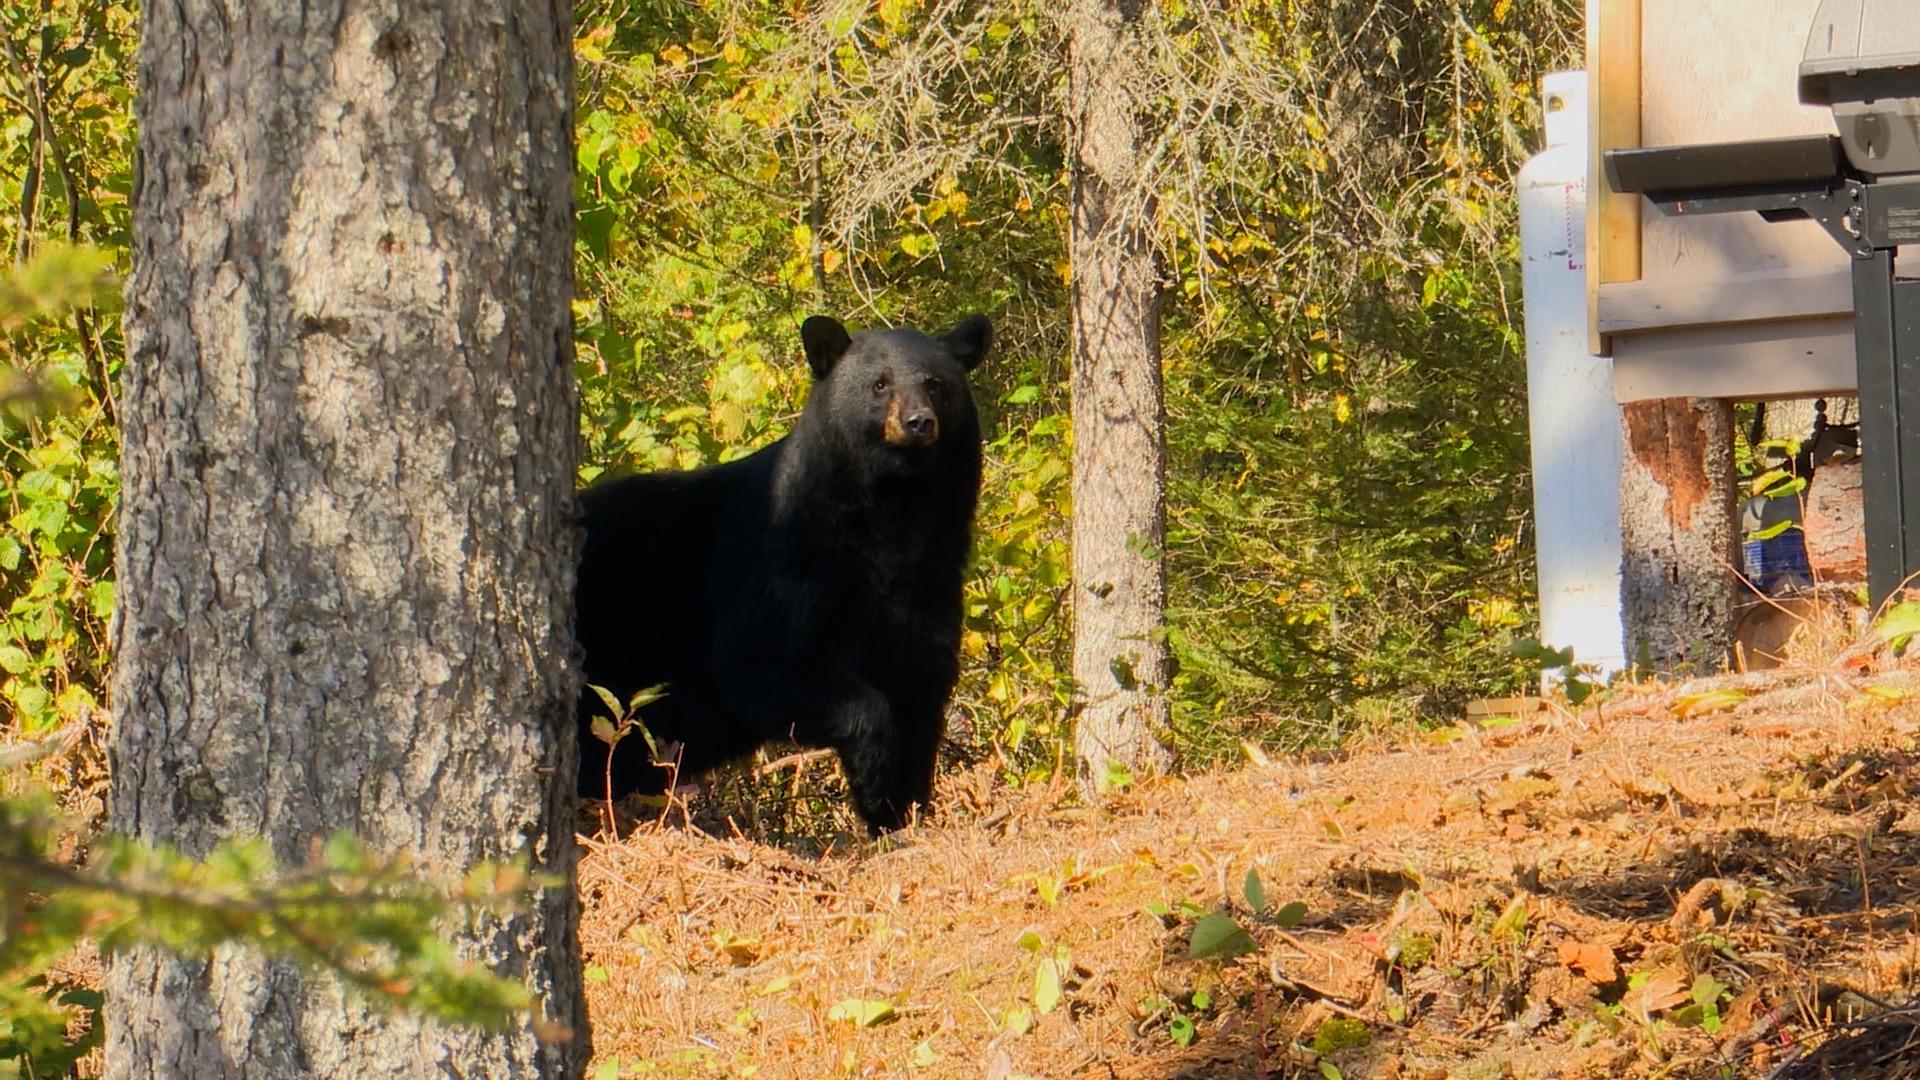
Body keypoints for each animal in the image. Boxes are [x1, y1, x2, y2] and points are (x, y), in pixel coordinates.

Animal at [568, 311, 990, 834]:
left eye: (935, 383)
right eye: (879, 383)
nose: (918, 422)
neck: (891, 516)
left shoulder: (931, 573)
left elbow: (918, 680)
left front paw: (899, 810)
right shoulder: (787, 556)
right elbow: (763, 660)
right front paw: (875, 777)